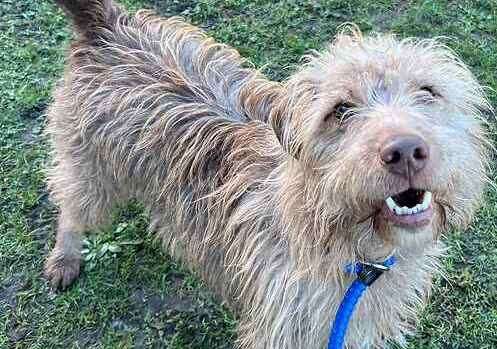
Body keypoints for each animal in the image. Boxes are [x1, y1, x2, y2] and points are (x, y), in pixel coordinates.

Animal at [46, 0, 492, 346]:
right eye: (339, 110)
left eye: (429, 92)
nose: (405, 152)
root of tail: (106, 22)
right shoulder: (286, 326)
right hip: (90, 166)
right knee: (71, 205)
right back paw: (64, 259)